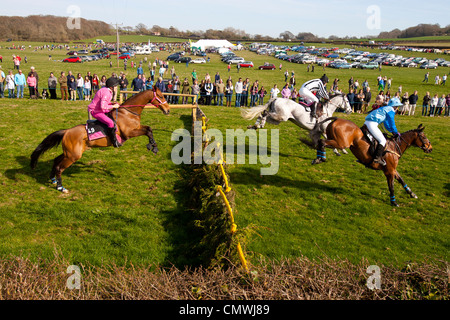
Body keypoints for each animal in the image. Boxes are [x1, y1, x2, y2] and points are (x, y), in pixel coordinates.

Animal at [29, 87, 171, 192]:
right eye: (161, 96)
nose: (168, 110)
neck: (128, 113)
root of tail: (66, 131)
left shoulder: (136, 128)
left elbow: (149, 129)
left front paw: (153, 145)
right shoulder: (129, 133)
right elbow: (147, 131)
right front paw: (152, 146)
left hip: (69, 153)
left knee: (56, 160)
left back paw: (52, 179)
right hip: (73, 155)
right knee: (59, 167)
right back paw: (60, 187)